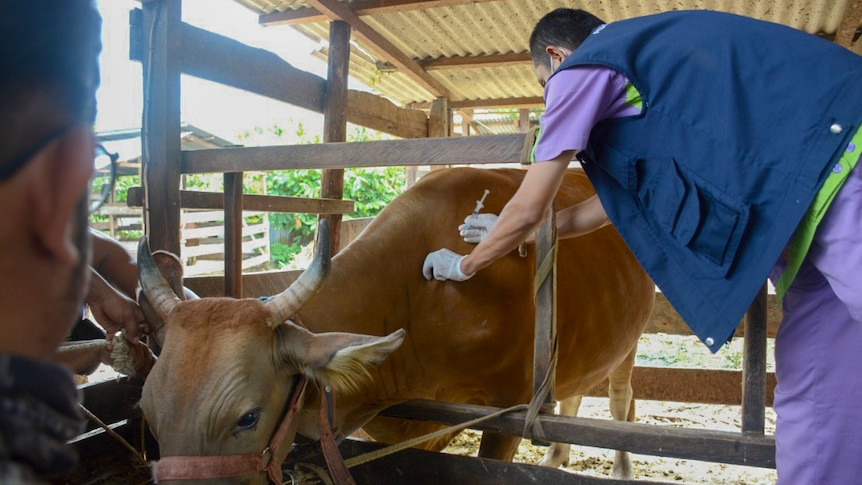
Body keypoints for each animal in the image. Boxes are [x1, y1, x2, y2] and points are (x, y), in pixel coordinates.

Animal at [137, 165, 656, 480]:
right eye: (146, 408)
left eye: (247, 417)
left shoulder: (506, 412)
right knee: (574, 389)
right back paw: (556, 456)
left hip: (631, 340)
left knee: (620, 400)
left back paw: (621, 467)